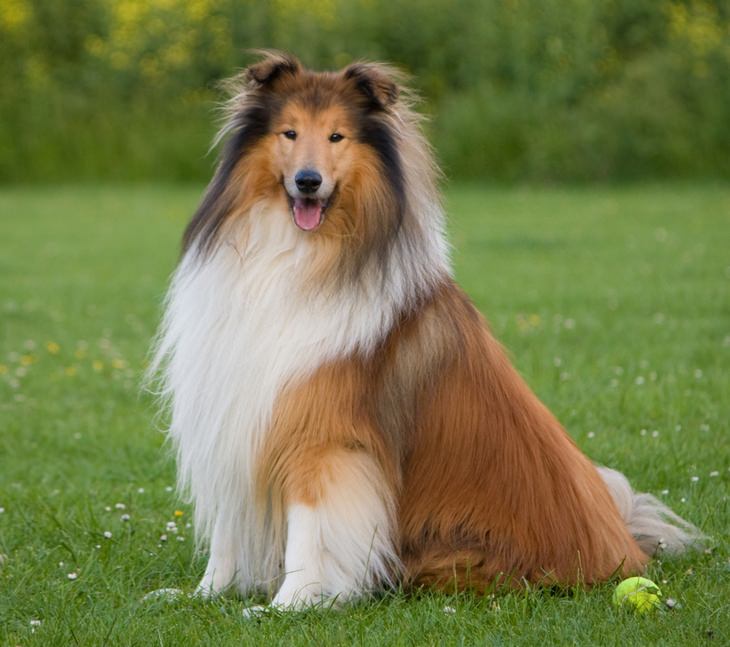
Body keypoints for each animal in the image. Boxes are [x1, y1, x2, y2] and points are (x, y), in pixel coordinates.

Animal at [148, 52, 700, 612]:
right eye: (289, 133)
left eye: (336, 137)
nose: (307, 181)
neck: (295, 255)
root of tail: (625, 547)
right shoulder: (239, 411)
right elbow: (228, 533)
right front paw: (201, 594)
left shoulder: (324, 436)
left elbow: (310, 529)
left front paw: (289, 604)